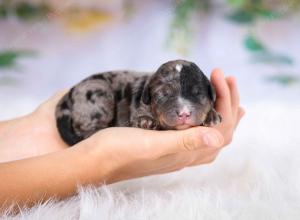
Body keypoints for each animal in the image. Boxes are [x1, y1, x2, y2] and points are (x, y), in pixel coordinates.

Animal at [55, 59, 220, 145]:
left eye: (198, 93)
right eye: (163, 94)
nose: (184, 113)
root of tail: (70, 92)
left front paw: (212, 115)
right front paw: (146, 121)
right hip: (98, 94)